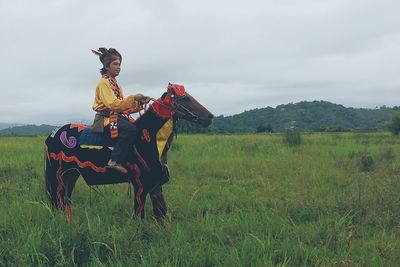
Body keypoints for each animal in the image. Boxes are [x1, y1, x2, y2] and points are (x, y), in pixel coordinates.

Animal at [43, 84, 212, 222]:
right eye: (184, 98)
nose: (209, 117)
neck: (148, 138)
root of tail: (53, 134)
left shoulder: (155, 184)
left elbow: (161, 214)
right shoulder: (141, 184)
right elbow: (139, 215)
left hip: (71, 174)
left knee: (65, 201)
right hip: (58, 175)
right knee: (57, 201)